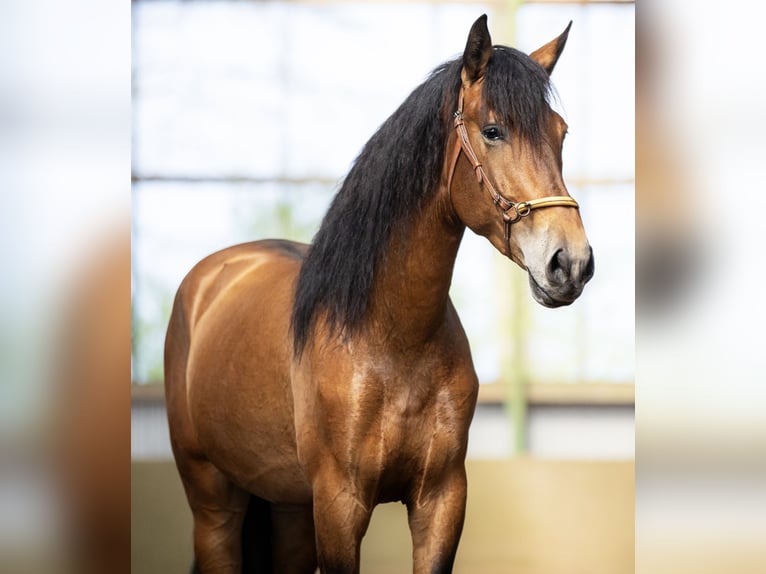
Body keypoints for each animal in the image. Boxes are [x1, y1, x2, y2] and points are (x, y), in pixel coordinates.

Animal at [164, 14, 592, 574]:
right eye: (493, 130)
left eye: (561, 132)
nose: (571, 263)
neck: (393, 340)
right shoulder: (339, 504)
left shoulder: (440, 500)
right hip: (214, 503)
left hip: (289, 509)